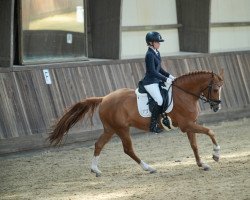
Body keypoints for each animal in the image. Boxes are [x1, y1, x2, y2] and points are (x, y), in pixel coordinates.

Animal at [47, 69, 224, 176]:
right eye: (215, 89)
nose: (217, 107)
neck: (184, 94)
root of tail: (104, 98)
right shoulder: (186, 125)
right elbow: (211, 131)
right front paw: (215, 155)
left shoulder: (190, 125)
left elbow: (194, 146)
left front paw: (202, 164)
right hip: (122, 129)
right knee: (128, 149)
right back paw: (149, 167)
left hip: (110, 129)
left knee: (99, 144)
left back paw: (95, 169)